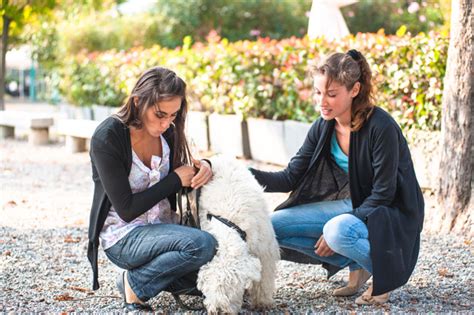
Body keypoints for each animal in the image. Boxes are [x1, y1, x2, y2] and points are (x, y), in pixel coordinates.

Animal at [190, 157, 282, 314]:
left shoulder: (265, 249)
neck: (229, 224)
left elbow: (264, 278)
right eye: (208, 288)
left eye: (230, 286)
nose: (218, 310)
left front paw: (262, 302)